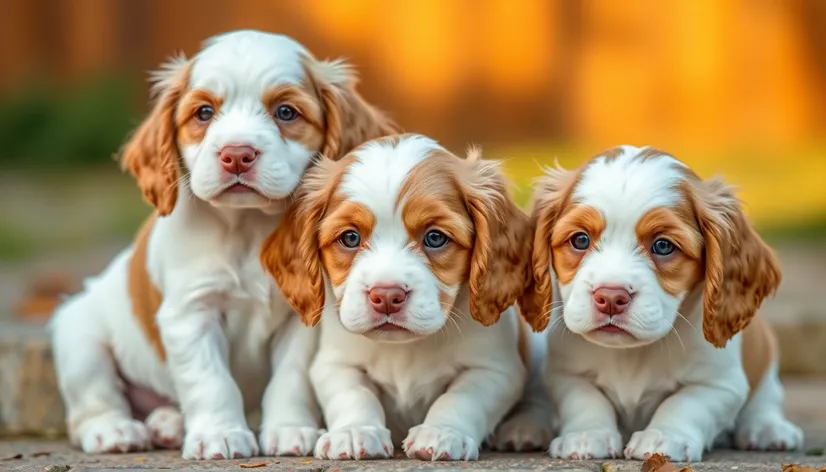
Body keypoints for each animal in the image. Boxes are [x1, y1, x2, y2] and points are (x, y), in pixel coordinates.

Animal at [50, 27, 398, 460]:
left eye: (286, 112)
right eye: (203, 113)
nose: (237, 154)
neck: (247, 226)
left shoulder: (302, 318)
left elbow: (290, 378)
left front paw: (290, 429)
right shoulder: (192, 314)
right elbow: (211, 381)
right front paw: (220, 435)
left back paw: (168, 424)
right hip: (79, 336)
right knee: (92, 403)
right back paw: (115, 430)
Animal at [260, 134, 536, 460]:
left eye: (435, 237)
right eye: (350, 238)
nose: (387, 296)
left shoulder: (495, 369)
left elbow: (462, 398)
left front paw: (442, 433)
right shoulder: (334, 364)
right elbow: (354, 394)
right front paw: (355, 432)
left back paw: (525, 430)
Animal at [520, 145, 800, 460]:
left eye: (663, 246)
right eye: (580, 240)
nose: (611, 297)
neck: (631, 354)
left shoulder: (719, 383)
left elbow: (686, 403)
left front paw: (664, 437)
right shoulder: (566, 373)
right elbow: (584, 399)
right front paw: (586, 436)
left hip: (764, 351)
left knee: (766, 397)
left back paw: (768, 430)